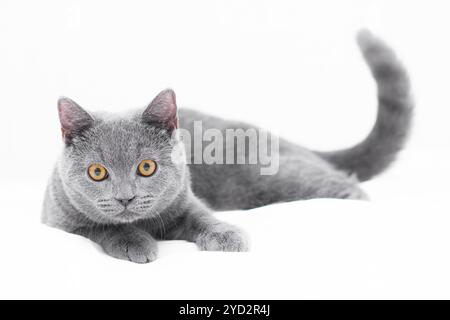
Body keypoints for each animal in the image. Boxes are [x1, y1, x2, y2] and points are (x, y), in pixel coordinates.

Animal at [42, 30, 412, 262]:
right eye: (97, 172)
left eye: (147, 167)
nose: (125, 198)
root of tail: (278, 136)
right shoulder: (58, 221)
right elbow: (102, 227)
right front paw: (134, 241)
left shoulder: (185, 201)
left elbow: (203, 216)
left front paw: (227, 237)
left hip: (265, 176)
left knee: (343, 183)